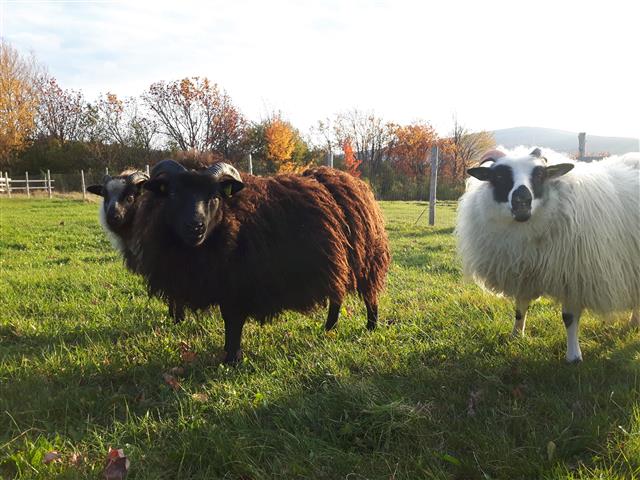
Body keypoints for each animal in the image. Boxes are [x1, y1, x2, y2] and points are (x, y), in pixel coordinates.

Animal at [129, 161, 390, 364]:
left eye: (214, 197)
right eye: (173, 195)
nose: (195, 227)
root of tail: (352, 181)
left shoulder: (238, 285)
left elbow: (233, 322)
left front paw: (231, 359)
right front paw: (229, 354)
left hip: (366, 259)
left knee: (370, 296)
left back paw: (370, 326)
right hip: (338, 261)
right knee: (337, 296)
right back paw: (329, 327)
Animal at [456, 148, 640, 362]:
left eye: (539, 175)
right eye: (500, 176)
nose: (522, 200)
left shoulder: (573, 276)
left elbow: (569, 318)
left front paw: (573, 356)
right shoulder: (523, 272)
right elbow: (519, 309)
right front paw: (516, 336)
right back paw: (634, 321)